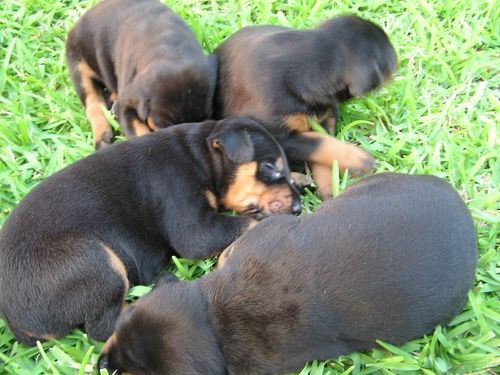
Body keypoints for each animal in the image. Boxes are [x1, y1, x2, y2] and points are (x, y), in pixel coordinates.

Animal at [0, 117, 298, 346]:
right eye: (269, 168)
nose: (297, 206)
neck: (199, 155)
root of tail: (16, 323)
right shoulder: (193, 226)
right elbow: (246, 223)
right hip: (95, 261)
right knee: (103, 327)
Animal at [213, 15, 396, 197]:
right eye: (387, 61)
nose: (397, 60)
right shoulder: (275, 134)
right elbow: (318, 142)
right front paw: (357, 158)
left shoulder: (327, 117)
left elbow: (323, 147)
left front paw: (328, 186)